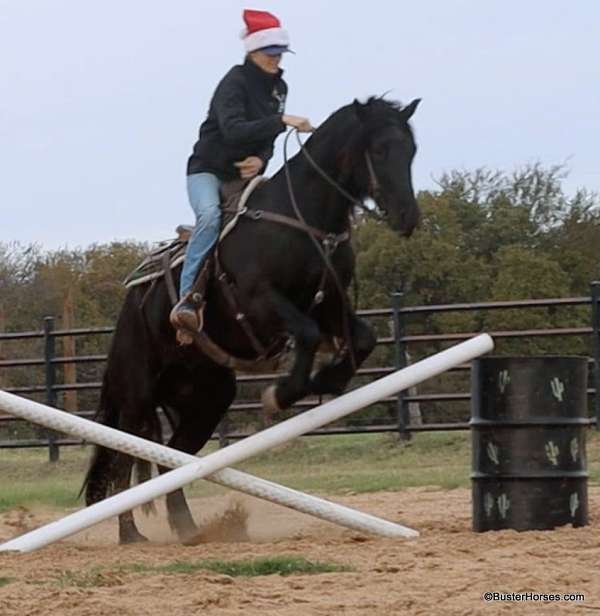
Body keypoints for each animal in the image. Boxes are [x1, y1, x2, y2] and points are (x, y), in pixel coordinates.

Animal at [85, 96, 422, 544]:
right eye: (381, 149)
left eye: (412, 150)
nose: (408, 217)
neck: (303, 219)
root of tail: (131, 304)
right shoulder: (260, 300)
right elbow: (307, 334)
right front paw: (282, 393)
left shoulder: (330, 303)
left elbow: (364, 339)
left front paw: (325, 381)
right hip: (137, 394)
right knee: (124, 454)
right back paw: (130, 535)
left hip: (206, 398)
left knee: (174, 456)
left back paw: (189, 529)